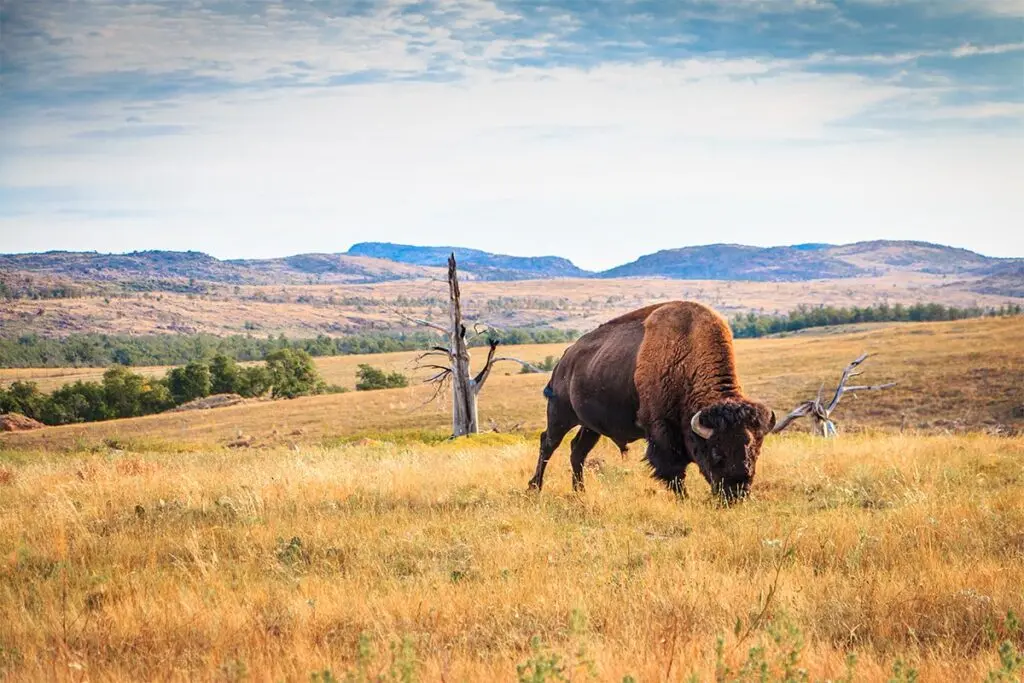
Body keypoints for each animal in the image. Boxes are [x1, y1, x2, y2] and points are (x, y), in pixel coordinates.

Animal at [528, 301, 776, 501]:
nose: (736, 494)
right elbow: (673, 471)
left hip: (590, 427)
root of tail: (564, 360)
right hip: (560, 414)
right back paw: (534, 487)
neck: (686, 355)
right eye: (716, 451)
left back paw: (580, 491)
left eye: (756, 450)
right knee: (548, 444)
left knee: (577, 451)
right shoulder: (661, 432)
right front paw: (684, 499)